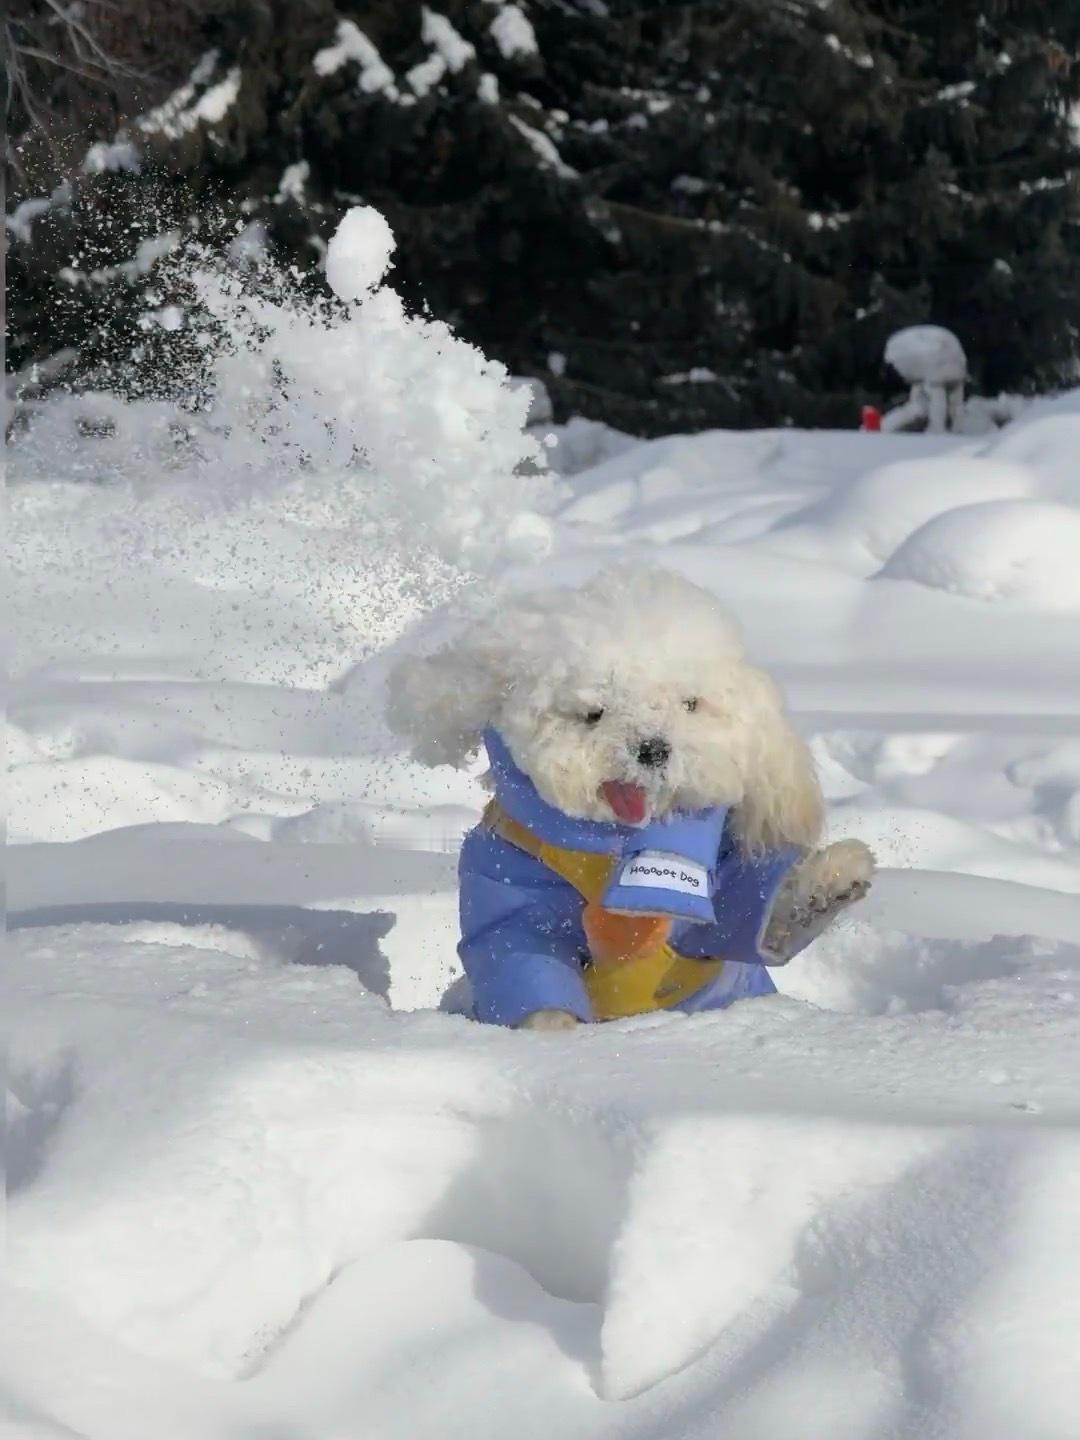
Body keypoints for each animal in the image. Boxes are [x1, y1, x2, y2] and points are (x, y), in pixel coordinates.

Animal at [388, 567, 869, 1031]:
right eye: (593, 714)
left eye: (690, 704)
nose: (653, 749)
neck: (617, 845)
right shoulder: (510, 890)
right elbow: (519, 956)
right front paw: (550, 1033)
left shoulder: (721, 910)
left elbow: (756, 919)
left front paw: (829, 881)